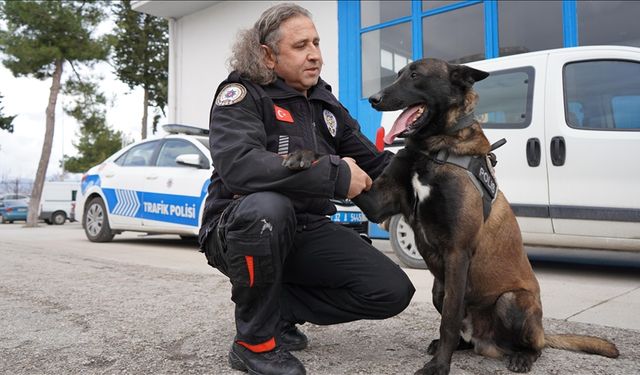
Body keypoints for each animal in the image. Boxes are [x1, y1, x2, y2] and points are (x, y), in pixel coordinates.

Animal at [282, 57, 616, 374]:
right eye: (399, 73)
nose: (374, 99)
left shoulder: (457, 252)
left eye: (415, 75)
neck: (433, 150)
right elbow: (334, 159)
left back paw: (521, 357)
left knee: (533, 345)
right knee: (465, 336)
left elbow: (450, 321)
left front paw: (439, 367)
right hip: (437, 288)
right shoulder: (377, 201)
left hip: (510, 300)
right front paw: (303, 155)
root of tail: (487, 342)